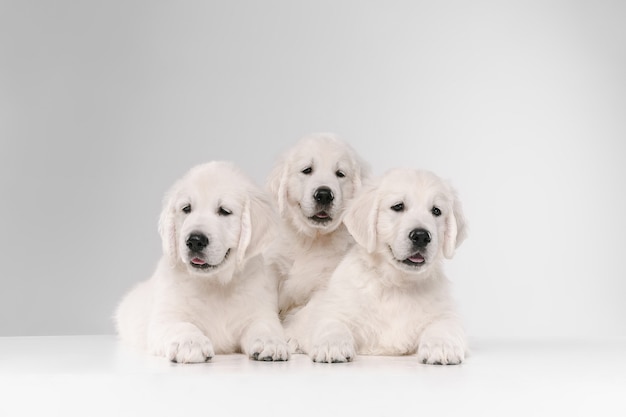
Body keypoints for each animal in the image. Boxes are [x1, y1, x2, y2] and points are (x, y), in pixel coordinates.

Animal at [114, 161, 288, 362]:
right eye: (186, 209)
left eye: (224, 211)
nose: (195, 240)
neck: (215, 284)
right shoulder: (165, 317)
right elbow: (182, 324)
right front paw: (190, 343)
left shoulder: (260, 311)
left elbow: (264, 326)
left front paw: (271, 342)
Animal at [262, 133, 366, 318]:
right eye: (307, 170)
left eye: (340, 174)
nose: (324, 195)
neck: (311, 240)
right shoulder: (273, 265)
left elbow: (306, 315)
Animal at [286, 167, 466, 362]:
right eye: (398, 206)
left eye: (436, 211)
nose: (421, 236)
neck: (396, 284)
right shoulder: (334, 308)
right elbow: (332, 323)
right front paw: (331, 346)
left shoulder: (444, 311)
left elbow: (444, 325)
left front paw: (442, 347)